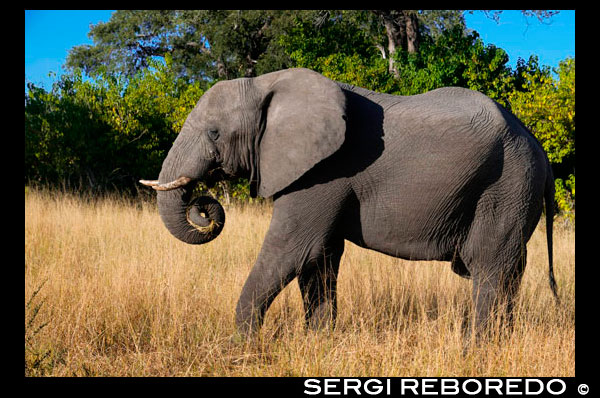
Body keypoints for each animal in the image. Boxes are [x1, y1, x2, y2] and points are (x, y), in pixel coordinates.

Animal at [141, 67, 556, 338]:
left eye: (214, 133)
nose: (203, 207)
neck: (265, 84)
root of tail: (537, 146)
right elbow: (320, 257)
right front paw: (319, 342)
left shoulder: (325, 170)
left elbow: (291, 250)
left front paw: (242, 347)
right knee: (507, 272)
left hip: (507, 185)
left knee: (489, 269)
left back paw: (477, 348)